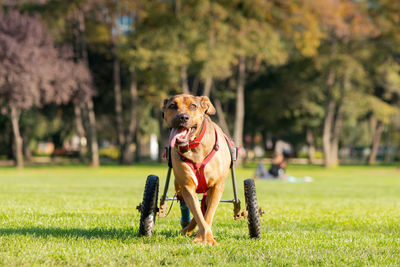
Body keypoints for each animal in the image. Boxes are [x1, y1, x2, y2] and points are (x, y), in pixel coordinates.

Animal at [162, 94, 231, 247]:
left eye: (193, 106)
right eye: (172, 105)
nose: (182, 117)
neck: (194, 147)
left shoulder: (217, 186)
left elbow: (208, 214)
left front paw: (204, 238)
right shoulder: (187, 186)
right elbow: (199, 215)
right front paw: (204, 237)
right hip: (178, 184)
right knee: (186, 202)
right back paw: (186, 228)